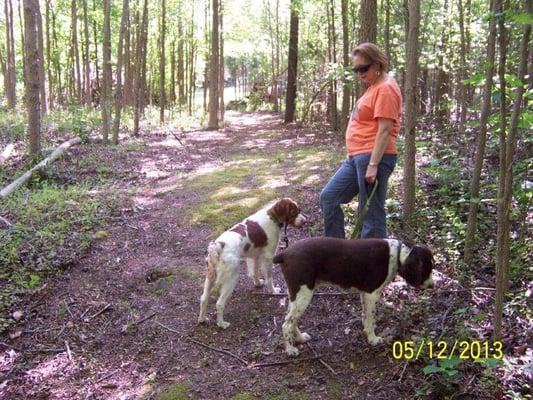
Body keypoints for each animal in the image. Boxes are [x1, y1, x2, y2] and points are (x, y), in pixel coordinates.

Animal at [197, 198, 306, 330]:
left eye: (299, 210)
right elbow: (269, 278)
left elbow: (255, 272)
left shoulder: (255, 256)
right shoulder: (268, 256)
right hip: (231, 278)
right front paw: (273, 291)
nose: (305, 221)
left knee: (203, 299)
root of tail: (217, 246)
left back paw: (202, 319)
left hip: (210, 278)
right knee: (219, 303)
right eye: (293, 212)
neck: (272, 217)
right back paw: (222, 324)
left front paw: (258, 284)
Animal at [272, 238, 434, 356]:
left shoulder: (365, 294)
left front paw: (367, 332)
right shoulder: (372, 294)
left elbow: (366, 316)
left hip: (296, 294)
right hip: (303, 294)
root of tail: (284, 254)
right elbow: (371, 318)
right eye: (426, 269)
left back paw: (300, 338)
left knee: (291, 320)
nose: (433, 285)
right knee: (286, 324)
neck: (397, 254)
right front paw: (373, 339)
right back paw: (290, 349)